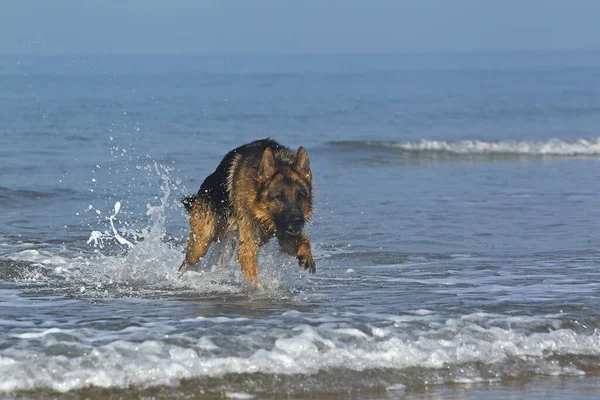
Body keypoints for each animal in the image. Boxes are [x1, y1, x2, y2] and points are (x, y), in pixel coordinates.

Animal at [180, 139, 316, 282]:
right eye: (279, 197)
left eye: (300, 196)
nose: (297, 221)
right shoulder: (248, 246)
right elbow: (254, 276)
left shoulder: (284, 236)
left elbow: (305, 240)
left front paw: (307, 256)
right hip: (200, 243)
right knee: (187, 263)